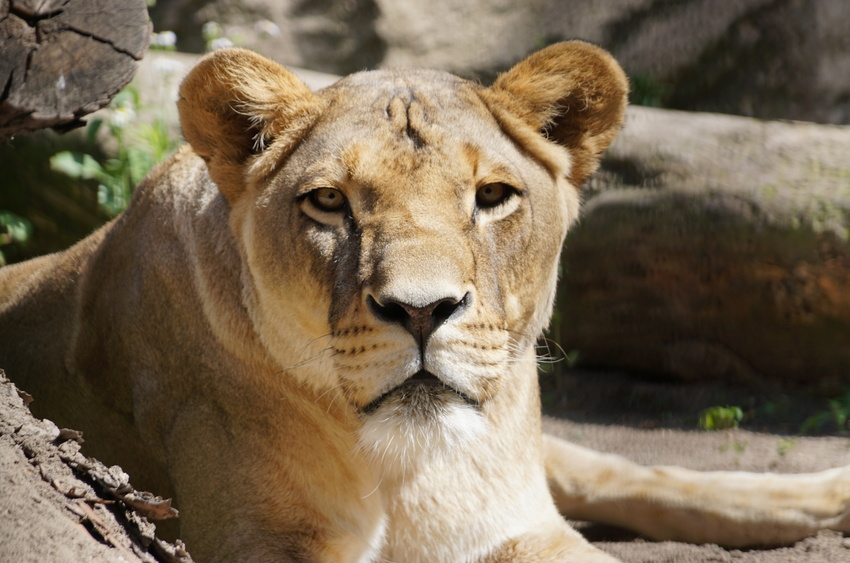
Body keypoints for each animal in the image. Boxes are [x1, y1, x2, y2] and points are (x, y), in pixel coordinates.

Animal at [2, 41, 850, 562]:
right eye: (328, 202)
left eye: (493, 195)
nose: (421, 310)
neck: (410, 470)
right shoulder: (256, 538)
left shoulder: (519, 524)